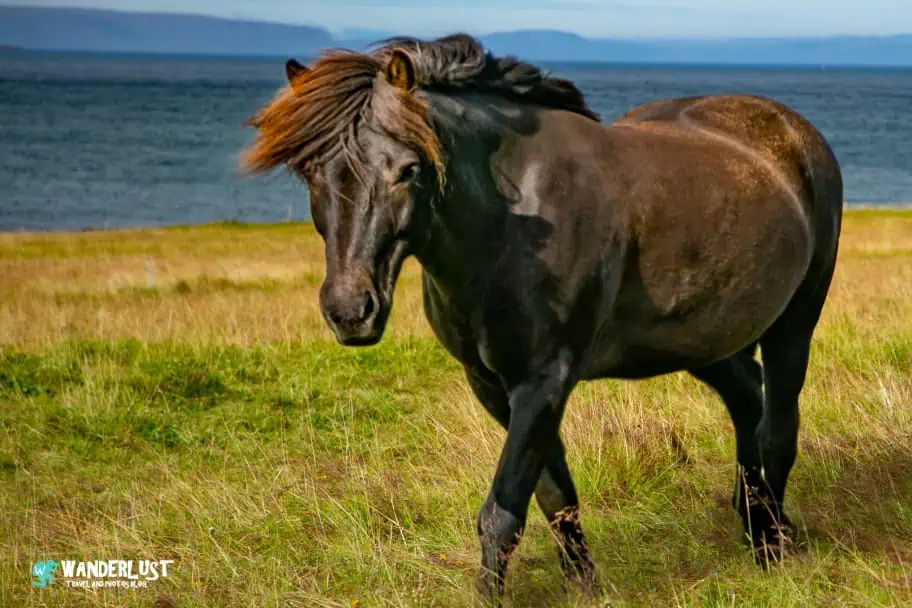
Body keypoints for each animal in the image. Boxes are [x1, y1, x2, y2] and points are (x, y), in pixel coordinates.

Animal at [241, 34, 843, 603]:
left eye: (407, 170)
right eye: (309, 172)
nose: (350, 310)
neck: (512, 225)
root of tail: (794, 132)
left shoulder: (543, 382)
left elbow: (502, 512)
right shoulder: (494, 386)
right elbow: (555, 497)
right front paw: (584, 587)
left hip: (794, 323)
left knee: (777, 428)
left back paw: (772, 546)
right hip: (702, 342)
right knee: (747, 400)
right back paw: (757, 526)